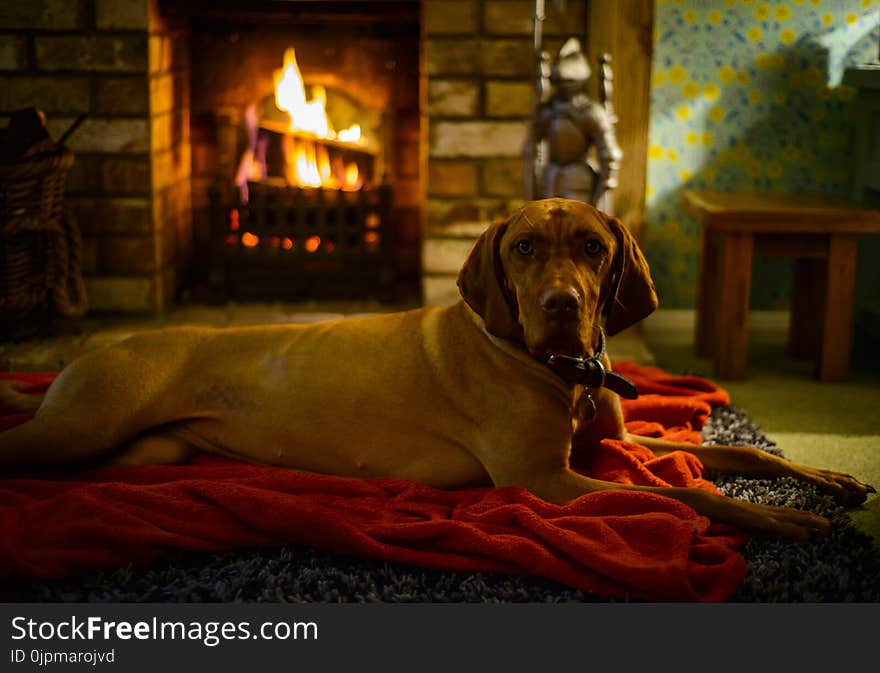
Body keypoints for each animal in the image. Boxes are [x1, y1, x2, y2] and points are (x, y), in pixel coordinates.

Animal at [0, 200, 868, 540]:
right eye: (523, 247)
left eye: (592, 247)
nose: (559, 303)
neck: (562, 369)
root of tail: (91, 351)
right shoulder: (544, 480)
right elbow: (683, 493)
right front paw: (777, 519)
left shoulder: (601, 449)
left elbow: (739, 449)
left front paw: (825, 479)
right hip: (84, 423)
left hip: (141, 452)